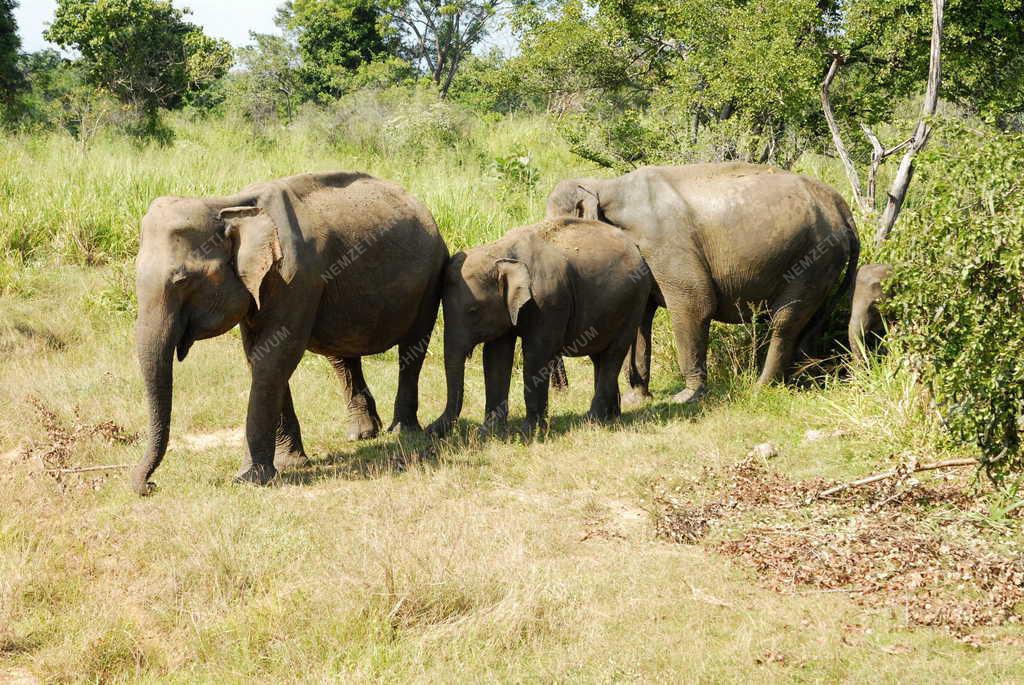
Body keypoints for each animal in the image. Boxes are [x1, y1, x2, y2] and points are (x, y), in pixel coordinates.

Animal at [133, 169, 448, 491]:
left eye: (182, 281)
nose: (149, 486)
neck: (227, 205)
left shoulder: (295, 279)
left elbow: (275, 356)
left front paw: (250, 480)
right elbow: (258, 356)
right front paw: (290, 464)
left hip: (431, 276)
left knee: (412, 349)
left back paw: (402, 432)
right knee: (343, 355)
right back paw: (362, 434)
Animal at [425, 216, 651, 436]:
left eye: (473, 310)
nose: (429, 430)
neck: (502, 252)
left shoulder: (548, 301)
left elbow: (536, 354)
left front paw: (529, 433)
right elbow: (496, 357)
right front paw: (489, 432)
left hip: (634, 303)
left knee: (613, 354)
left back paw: (592, 421)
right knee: (600, 357)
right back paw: (610, 417)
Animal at [548, 162, 860, 403]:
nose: (562, 391)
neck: (606, 187)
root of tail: (843, 207)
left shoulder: (666, 244)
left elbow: (695, 304)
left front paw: (686, 398)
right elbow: (640, 319)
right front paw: (637, 399)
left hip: (813, 258)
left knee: (784, 322)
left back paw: (761, 388)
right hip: (824, 265)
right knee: (809, 322)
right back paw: (799, 380)